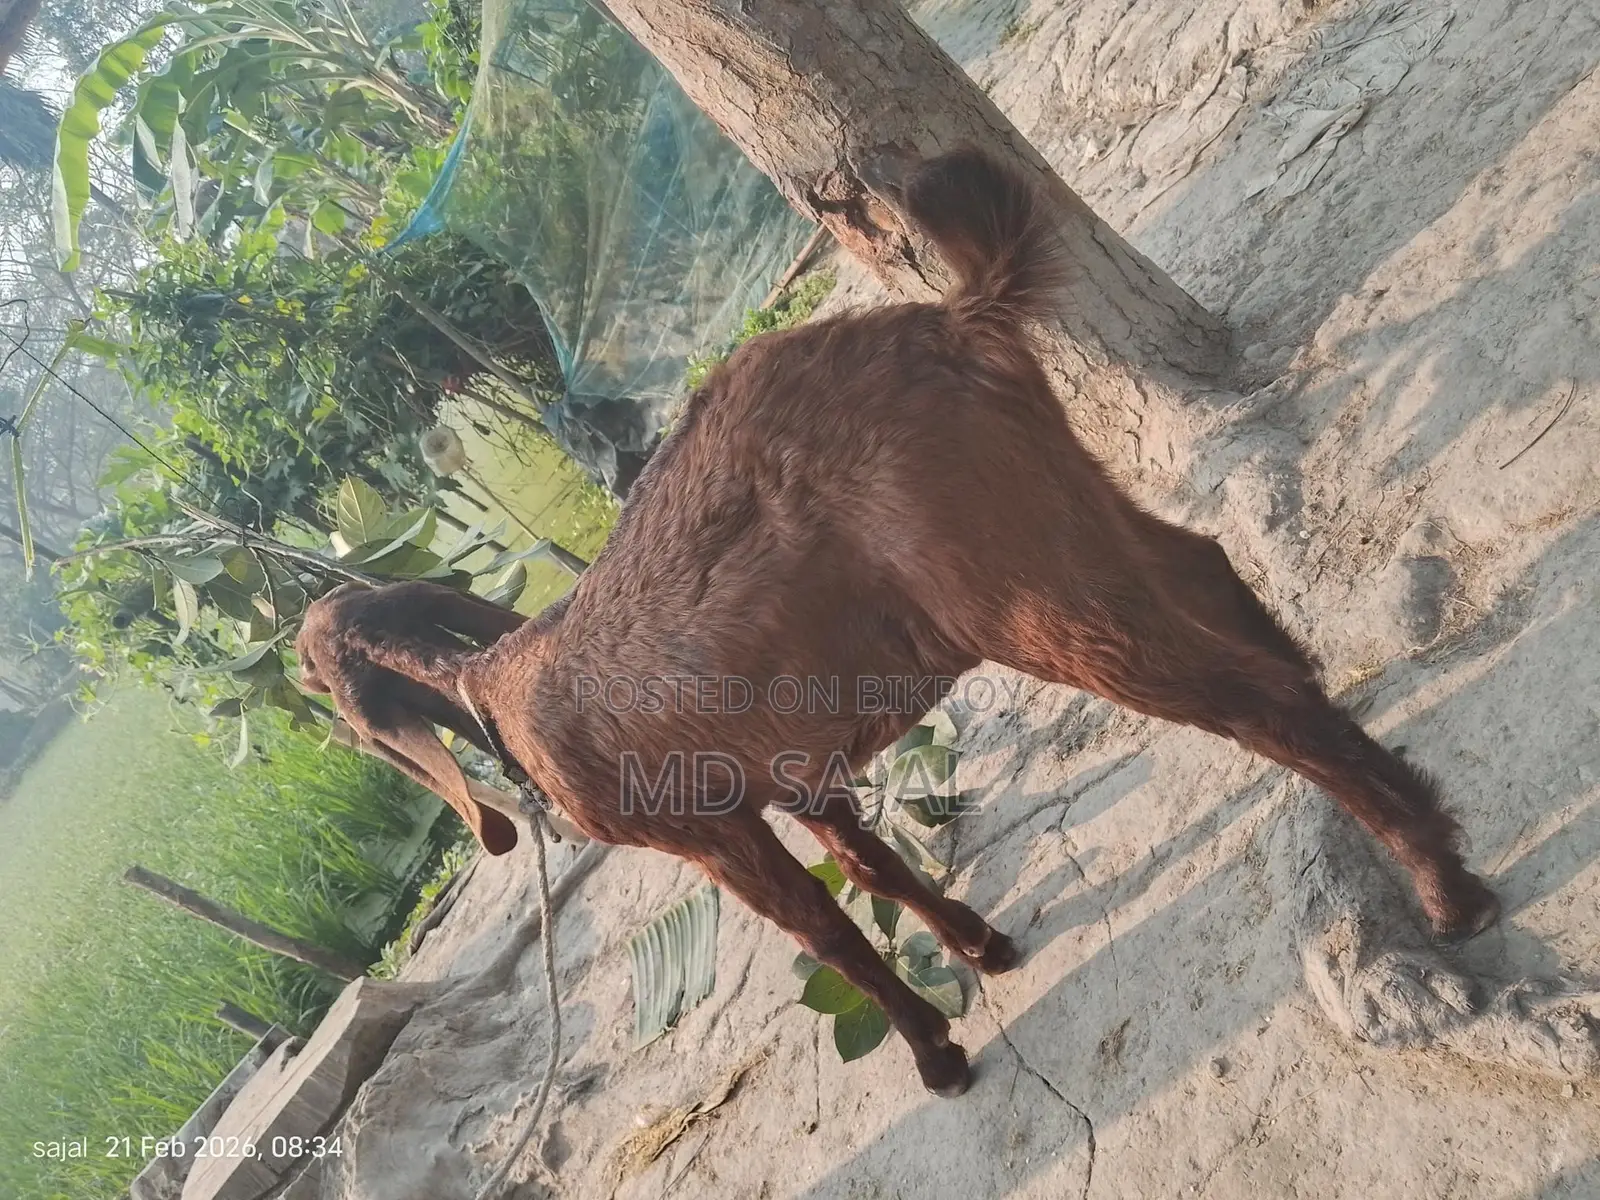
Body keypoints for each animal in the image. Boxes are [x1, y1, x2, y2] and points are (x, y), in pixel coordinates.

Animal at [295, 147, 1501, 1098]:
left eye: (320, 690)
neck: (501, 686)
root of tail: (957, 321)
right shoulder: (789, 770)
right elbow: (874, 868)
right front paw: (985, 945)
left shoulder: (706, 828)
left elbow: (826, 934)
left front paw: (935, 1054)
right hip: (1062, 505)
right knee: (1210, 576)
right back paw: (1418, 824)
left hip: (1014, 586)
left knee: (1231, 693)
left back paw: (1440, 885)